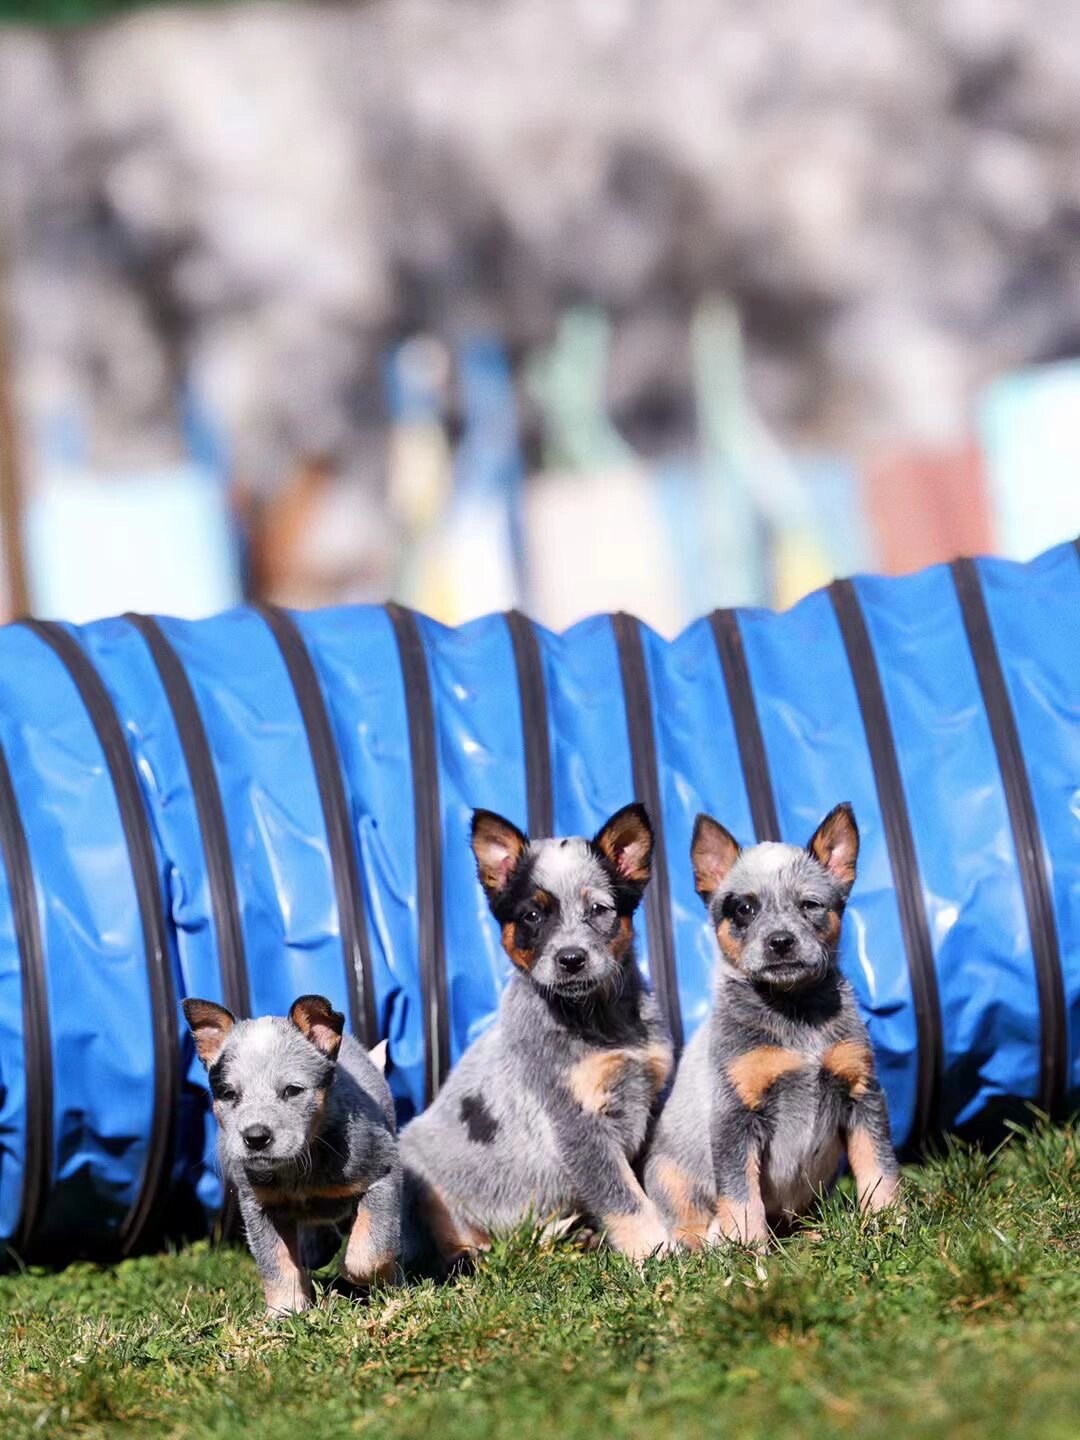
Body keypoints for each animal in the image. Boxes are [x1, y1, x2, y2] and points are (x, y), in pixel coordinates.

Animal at [182, 990, 403, 1319]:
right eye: (230, 1094)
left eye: (292, 1090)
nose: (255, 1138)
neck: (298, 1168)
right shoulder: (260, 1208)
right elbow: (276, 1265)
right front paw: (284, 1313)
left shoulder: (382, 1174)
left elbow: (369, 1253)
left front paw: (356, 1273)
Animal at [403, 806, 676, 1267]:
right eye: (533, 916)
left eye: (598, 909)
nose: (571, 959)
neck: (597, 1020)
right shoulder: (576, 1124)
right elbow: (625, 1199)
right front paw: (658, 1252)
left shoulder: (648, 1092)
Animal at [648, 806, 898, 1255]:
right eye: (744, 909)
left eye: (810, 905)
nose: (781, 941)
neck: (793, 1012)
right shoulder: (735, 1116)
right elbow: (741, 1196)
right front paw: (749, 1251)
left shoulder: (862, 1094)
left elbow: (879, 1167)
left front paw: (889, 1223)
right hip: (669, 1176)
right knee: (684, 1227)